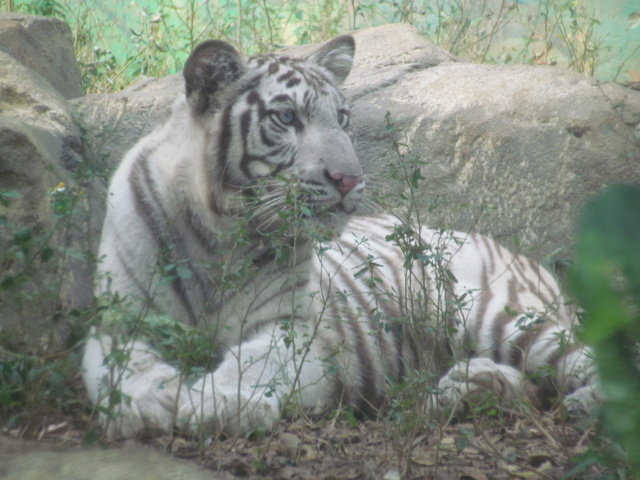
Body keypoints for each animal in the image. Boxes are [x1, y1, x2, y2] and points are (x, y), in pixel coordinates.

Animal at [82, 34, 596, 438]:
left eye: (343, 118)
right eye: (287, 118)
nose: (349, 179)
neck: (218, 231)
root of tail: (525, 258)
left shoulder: (291, 329)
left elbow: (255, 363)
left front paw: (218, 403)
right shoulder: (120, 318)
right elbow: (117, 366)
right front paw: (146, 404)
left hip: (497, 315)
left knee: (585, 361)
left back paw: (580, 405)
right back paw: (466, 390)